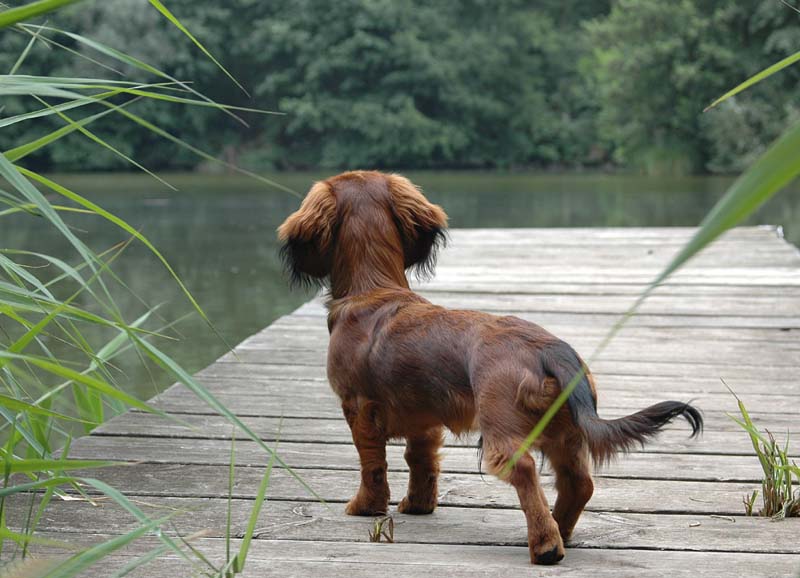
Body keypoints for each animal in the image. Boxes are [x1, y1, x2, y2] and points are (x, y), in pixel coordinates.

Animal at [278, 170, 704, 564]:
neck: (374, 289)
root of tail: (548, 349)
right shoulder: (424, 418)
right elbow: (421, 461)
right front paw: (417, 504)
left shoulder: (357, 407)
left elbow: (373, 465)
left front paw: (365, 506)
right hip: (565, 432)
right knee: (579, 483)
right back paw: (560, 530)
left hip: (503, 431)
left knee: (527, 472)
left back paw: (546, 545)